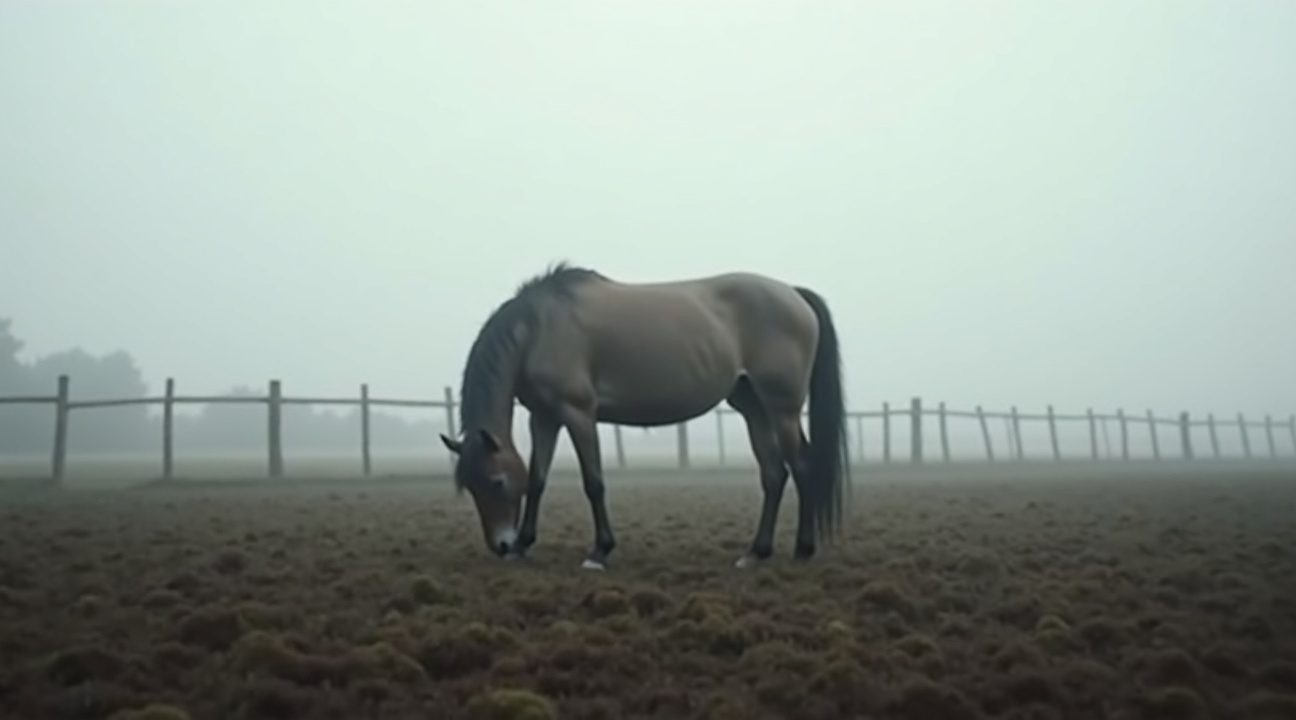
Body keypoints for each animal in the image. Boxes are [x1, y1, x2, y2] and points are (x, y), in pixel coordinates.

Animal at [439, 263, 850, 570]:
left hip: (782, 408)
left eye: (496, 482)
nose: (501, 545)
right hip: (753, 407)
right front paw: (525, 545)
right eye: (470, 486)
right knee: (774, 474)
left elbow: (593, 482)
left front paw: (599, 552)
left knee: (802, 467)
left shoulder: (578, 413)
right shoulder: (544, 417)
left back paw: (803, 550)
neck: (539, 329)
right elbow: (538, 479)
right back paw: (755, 553)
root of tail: (794, 294)